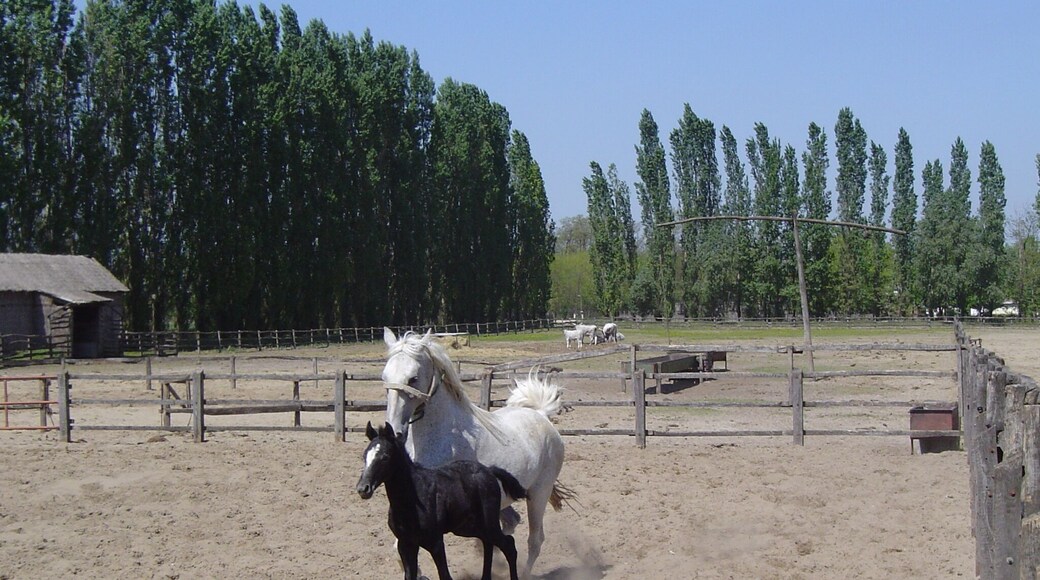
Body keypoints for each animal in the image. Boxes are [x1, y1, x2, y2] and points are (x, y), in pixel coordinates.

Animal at [357, 421, 527, 580]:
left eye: (385, 457)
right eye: (364, 456)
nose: (363, 488)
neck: (413, 500)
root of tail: (489, 471)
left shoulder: (435, 543)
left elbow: (445, 575)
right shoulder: (406, 543)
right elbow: (410, 575)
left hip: (488, 523)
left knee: (509, 546)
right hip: (468, 527)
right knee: (488, 543)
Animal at [381, 328, 568, 578]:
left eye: (412, 378)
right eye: (384, 377)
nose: (394, 430)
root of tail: (541, 415)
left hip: (539, 494)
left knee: (534, 540)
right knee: (510, 525)